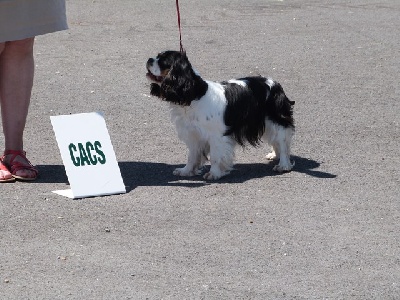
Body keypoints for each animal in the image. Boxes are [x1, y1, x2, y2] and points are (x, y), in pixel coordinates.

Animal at [146, 50, 294, 179]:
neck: (195, 95)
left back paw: (283, 165)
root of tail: (275, 83)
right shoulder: (194, 135)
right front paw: (186, 171)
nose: (149, 59)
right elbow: (192, 156)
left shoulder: (216, 136)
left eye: (163, 61)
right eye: (157, 56)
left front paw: (214, 174)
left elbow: (216, 157)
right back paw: (274, 155)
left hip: (276, 120)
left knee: (282, 141)